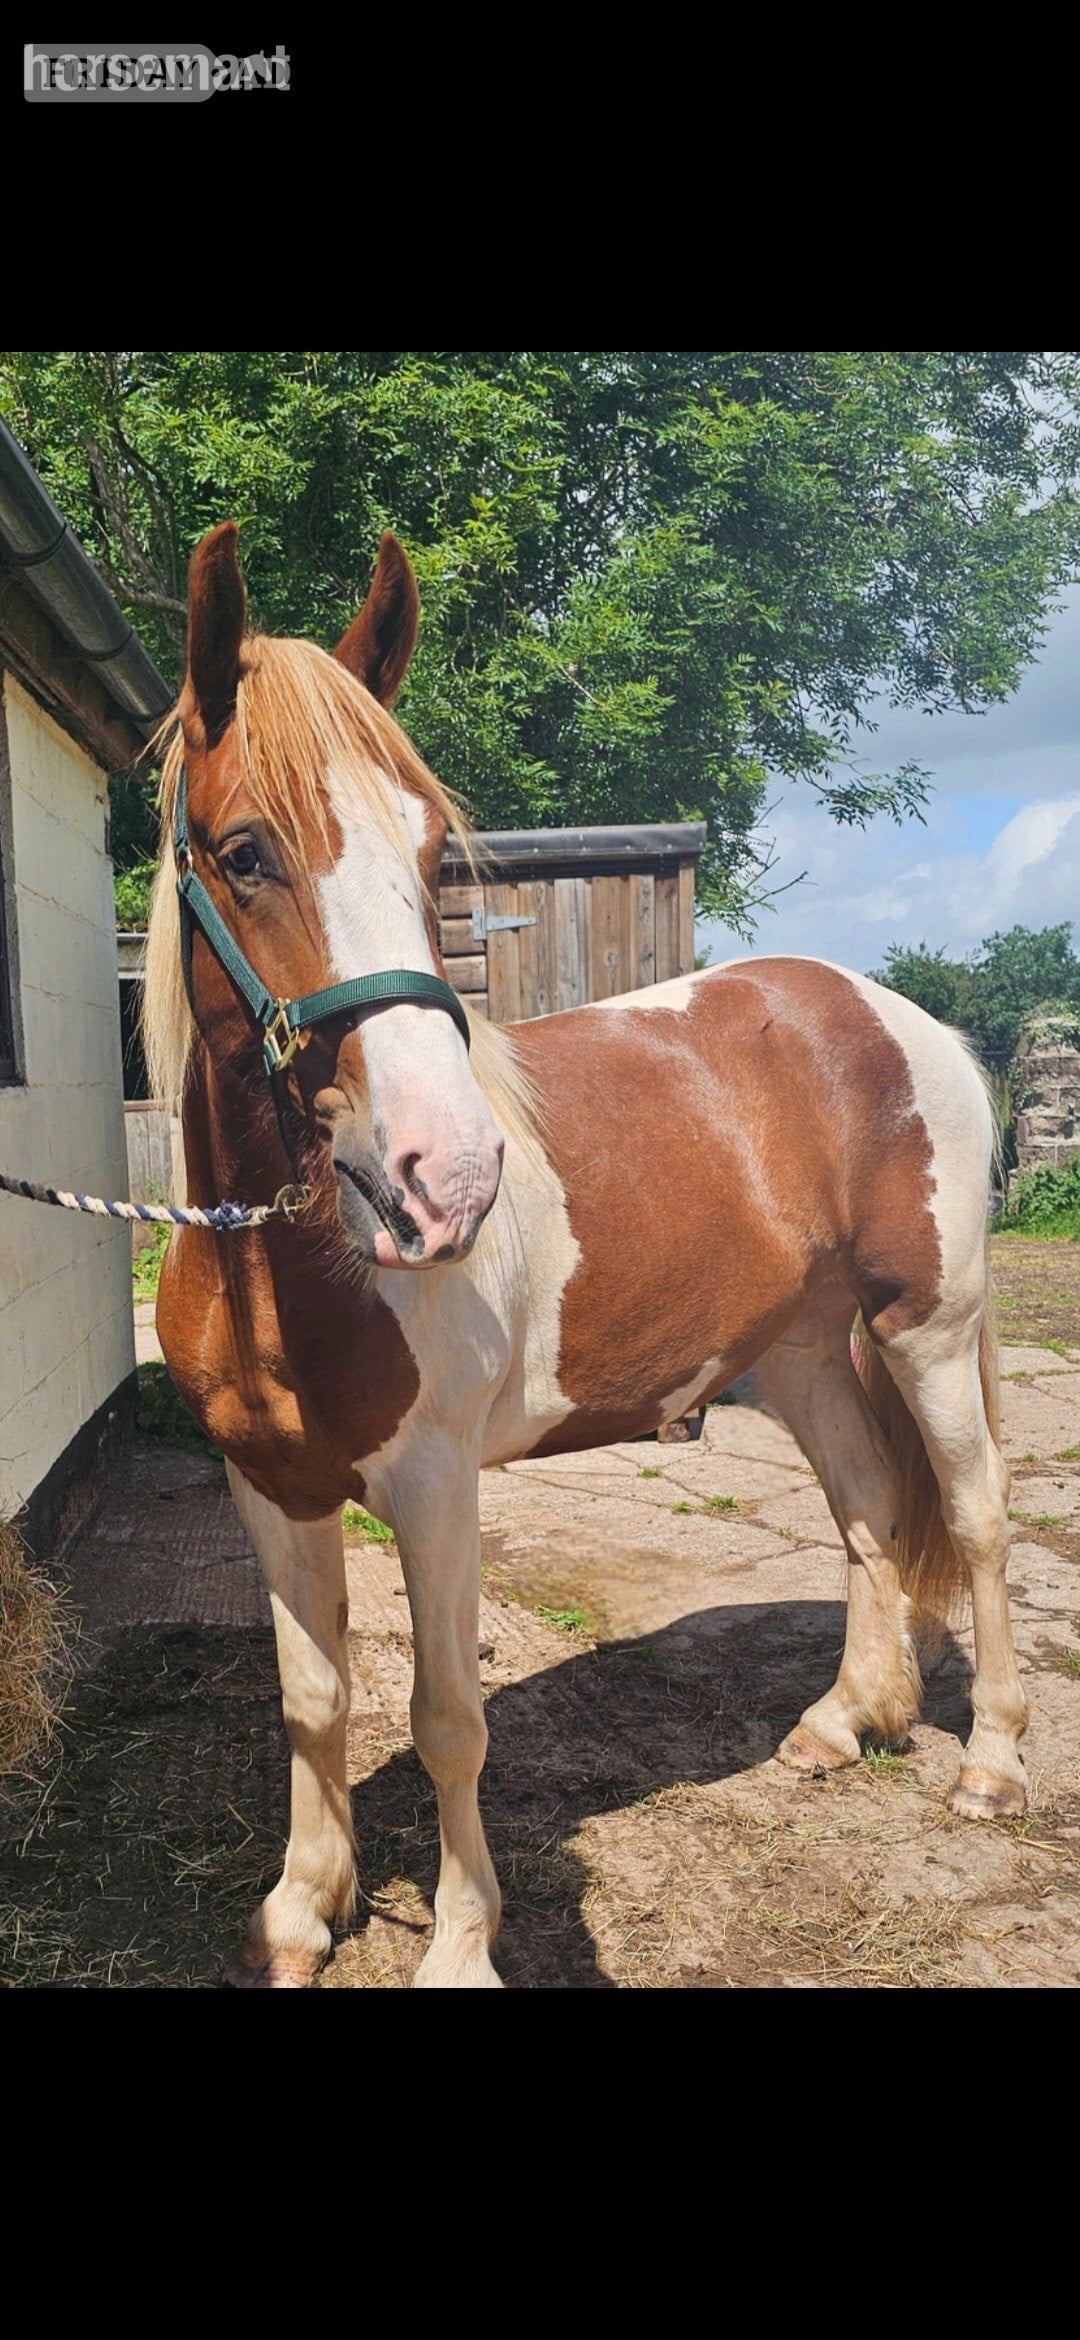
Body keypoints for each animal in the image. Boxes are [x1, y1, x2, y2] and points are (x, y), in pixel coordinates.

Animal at [147, 521, 1028, 1988]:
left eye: (433, 854)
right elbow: (315, 1699)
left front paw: (458, 1945)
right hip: (799, 1352)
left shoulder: (436, 1490)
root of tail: (896, 1014)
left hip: (929, 1330)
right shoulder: (270, 1486)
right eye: (245, 850)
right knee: (865, 1508)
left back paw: (997, 1767)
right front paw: (305, 1907)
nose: (446, 1178)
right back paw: (844, 1724)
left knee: (972, 1515)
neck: (287, 1268)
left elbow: (448, 1718)